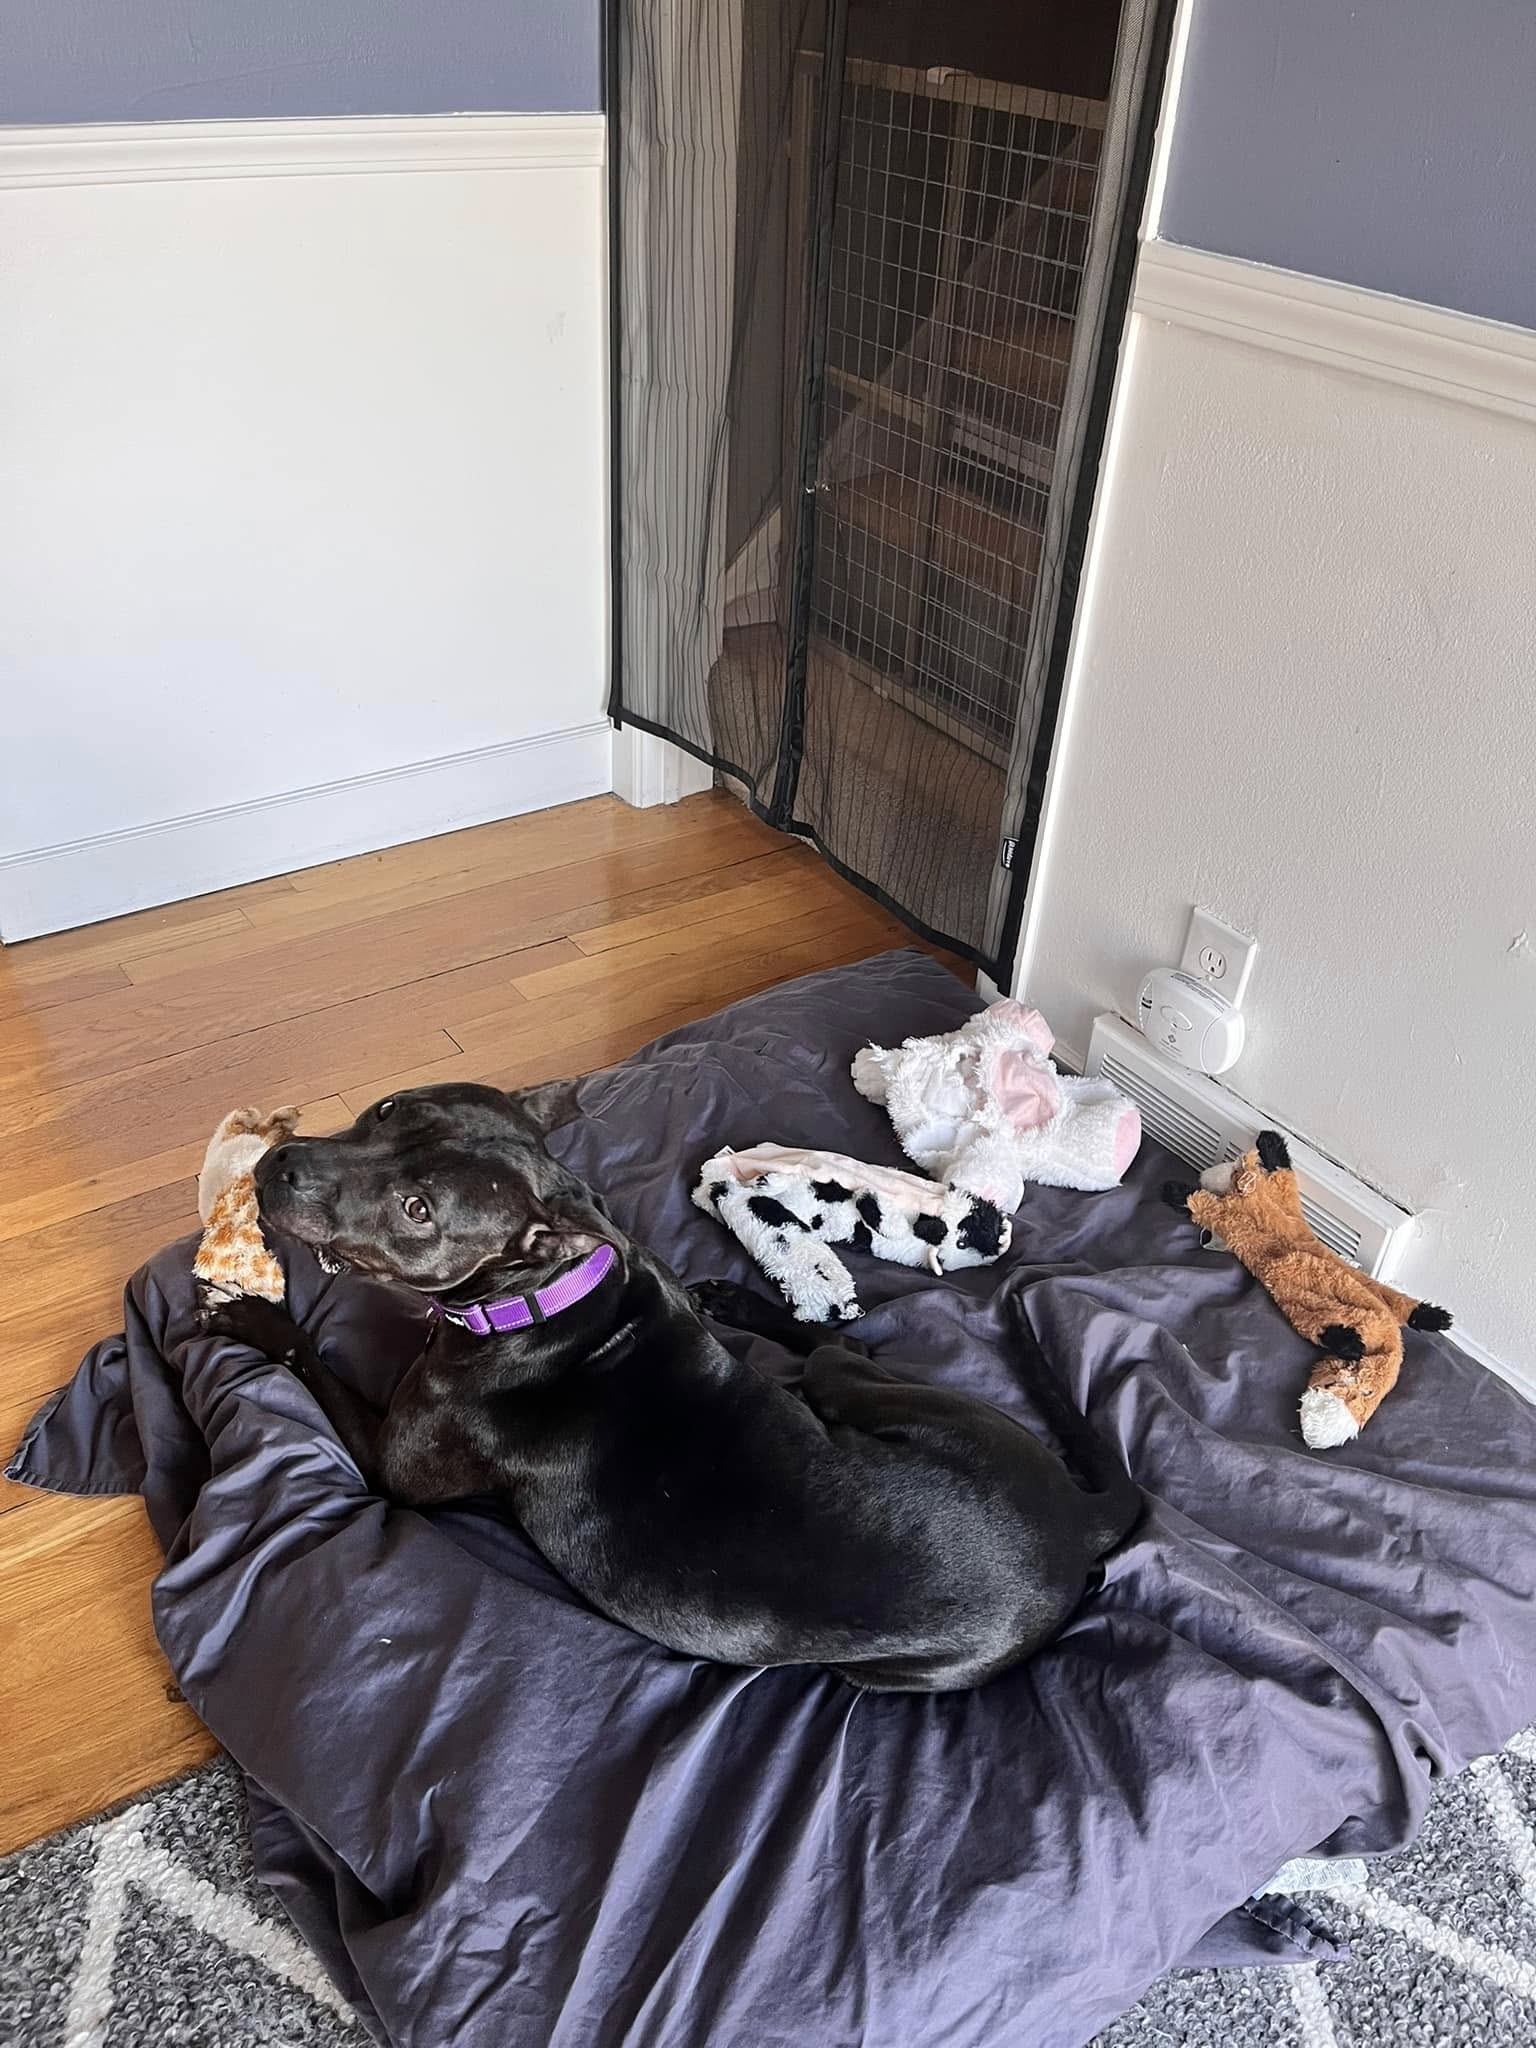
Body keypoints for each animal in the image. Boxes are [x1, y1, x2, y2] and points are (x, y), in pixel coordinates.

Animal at [204, 1081, 1138, 1687]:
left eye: (417, 1212)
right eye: (386, 1110)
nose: (278, 1168)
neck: (552, 1300)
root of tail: (1079, 1519)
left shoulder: (388, 1465)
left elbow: (311, 1359)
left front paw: (250, 1321)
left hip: (882, 1617)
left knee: (836, 1348)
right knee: (840, 1340)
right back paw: (733, 1299)